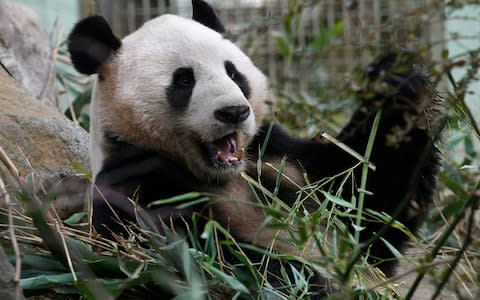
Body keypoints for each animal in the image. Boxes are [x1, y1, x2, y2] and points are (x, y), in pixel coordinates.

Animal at [66, 0, 438, 296]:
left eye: (233, 72)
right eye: (184, 80)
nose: (234, 112)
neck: (217, 173)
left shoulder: (275, 153)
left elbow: (364, 203)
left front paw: (397, 80)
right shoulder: (133, 184)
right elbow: (205, 264)